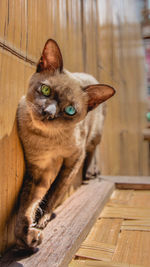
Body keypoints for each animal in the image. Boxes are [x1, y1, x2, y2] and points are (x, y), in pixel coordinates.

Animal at [14, 38, 115, 250]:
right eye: (46, 90)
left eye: (70, 110)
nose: (48, 113)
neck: (46, 140)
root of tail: (87, 75)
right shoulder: (38, 169)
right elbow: (27, 206)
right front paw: (27, 237)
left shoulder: (73, 159)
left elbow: (55, 191)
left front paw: (41, 221)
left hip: (94, 135)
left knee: (93, 148)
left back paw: (91, 173)